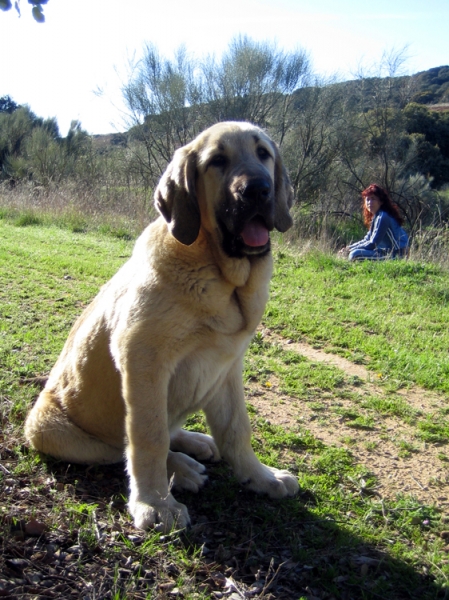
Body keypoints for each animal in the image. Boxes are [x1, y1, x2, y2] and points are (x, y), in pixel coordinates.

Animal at [24, 120, 300, 528]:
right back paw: (182, 469)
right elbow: (148, 438)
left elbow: (237, 430)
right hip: (49, 429)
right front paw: (155, 503)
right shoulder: (144, 361)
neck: (222, 275)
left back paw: (196, 443)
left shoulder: (227, 366)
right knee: (120, 448)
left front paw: (261, 477)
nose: (258, 189)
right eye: (217, 161)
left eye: (263, 154)